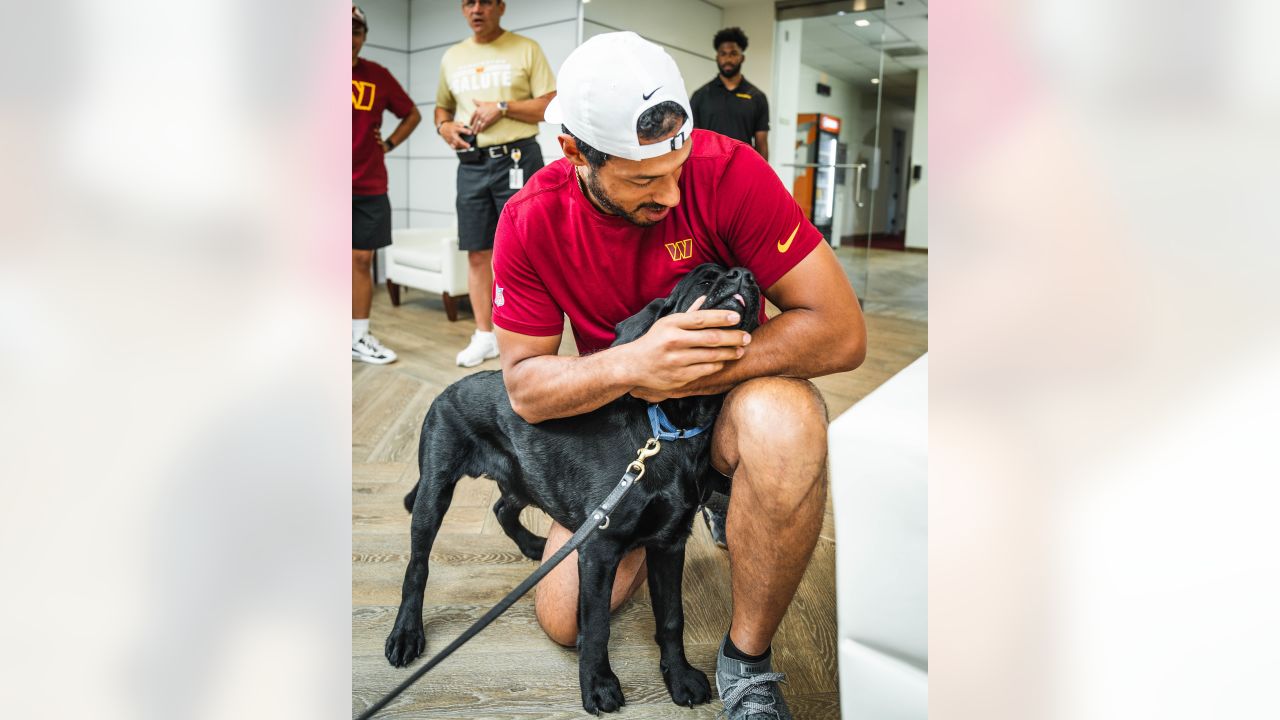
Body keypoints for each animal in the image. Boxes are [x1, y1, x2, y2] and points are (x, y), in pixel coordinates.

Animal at [378, 262, 757, 712]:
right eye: (705, 279)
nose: (747, 276)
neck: (669, 429)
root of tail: (447, 390)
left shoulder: (669, 543)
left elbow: (671, 617)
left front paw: (679, 677)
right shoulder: (600, 549)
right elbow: (595, 626)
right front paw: (598, 685)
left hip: (524, 476)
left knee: (502, 508)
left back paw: (534, 546)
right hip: (435, 488)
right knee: (418, 564)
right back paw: (406, 633)